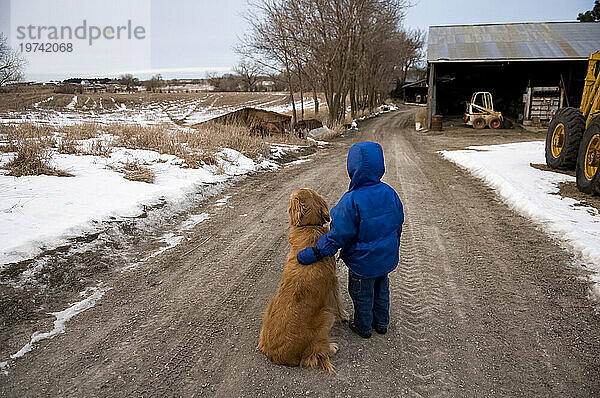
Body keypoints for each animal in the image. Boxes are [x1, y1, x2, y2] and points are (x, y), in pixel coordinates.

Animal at [256, 188, 346, 372]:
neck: (308, 226)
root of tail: (276, 356)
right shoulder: (333, 282)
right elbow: (338, 302)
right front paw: (344, 316)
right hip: (326, 314)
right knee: (314, 353)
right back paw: (331, 347)